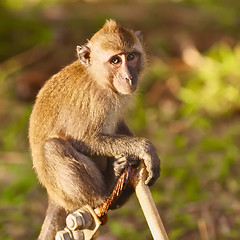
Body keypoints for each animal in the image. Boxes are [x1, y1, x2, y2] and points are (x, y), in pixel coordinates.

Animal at [29, 19, 159, 239]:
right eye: (115, 61)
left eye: (130, 57)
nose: (129, 77)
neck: (99, 79)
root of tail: (52, 195)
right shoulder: (96, 100)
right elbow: (85, 139)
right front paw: (144, 148)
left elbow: (117, 123)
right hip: (66, 195)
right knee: (53, 147)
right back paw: (105, 191)